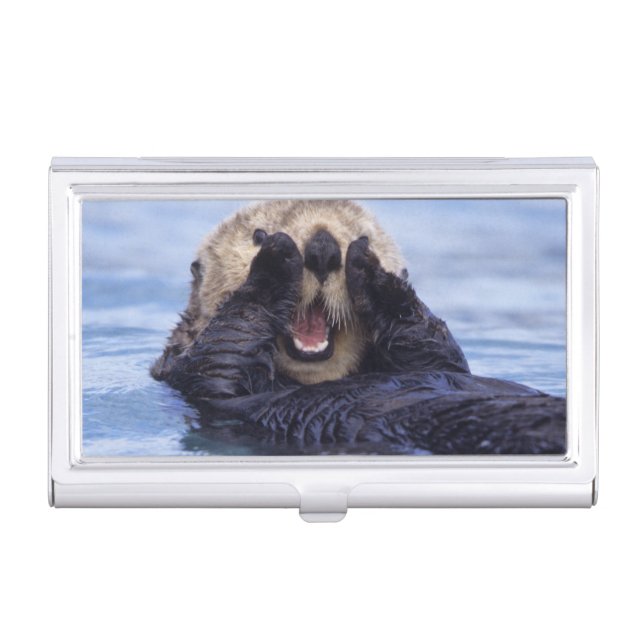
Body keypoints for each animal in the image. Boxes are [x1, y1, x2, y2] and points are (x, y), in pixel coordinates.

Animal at [152, 200, 565, 455]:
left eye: (362, 236)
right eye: (257, 235)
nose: (322, 248)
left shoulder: (438, 360)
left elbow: (435, 348)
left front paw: (372, 273)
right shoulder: (193, 375)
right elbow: (225, 348)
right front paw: (275, 261)